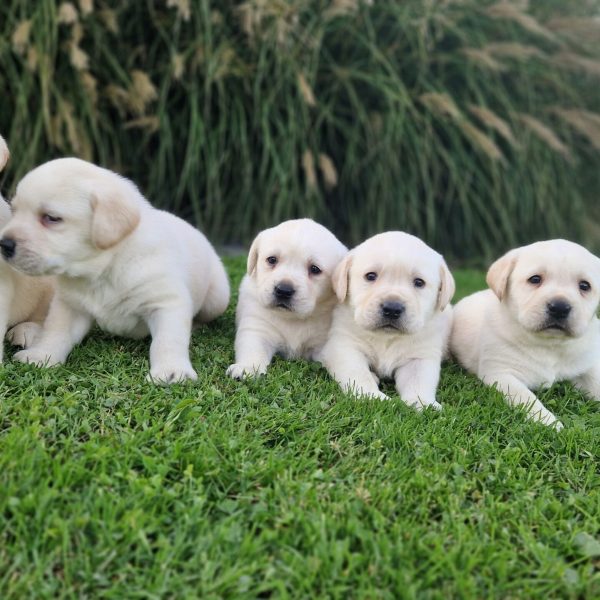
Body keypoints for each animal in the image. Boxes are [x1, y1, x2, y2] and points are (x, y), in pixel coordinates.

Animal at [0, 158, 229, 384]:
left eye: (51, 218)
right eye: (14, 211)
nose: (4, 244)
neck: (105, 267)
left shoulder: (166, 302)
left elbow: (167, 341)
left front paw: (171, 371)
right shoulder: (70, 306)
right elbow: (55, 331)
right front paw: (40, 355)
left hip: (218, 299)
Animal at [226, 219, 350, 380]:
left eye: (314, 269)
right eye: (272, 260)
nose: (283, 290)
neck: (293, 318)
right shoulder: (257, 327)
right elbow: (252, 349)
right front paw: (247, 368)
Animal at [322, 230, 452, 408]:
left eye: (419, 282)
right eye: (370, 276)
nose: (392, 309)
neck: (386, 337)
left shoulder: (421, 356)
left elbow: (419, 381)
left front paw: (423, 404)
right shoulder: (345, 347)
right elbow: (358, 374)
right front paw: (371, 397)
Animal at [450, 239, 600, 432]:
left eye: (584, 286)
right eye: (535, 279)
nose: (559, 307)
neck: (550, 345)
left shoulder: (586, 363)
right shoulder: (502, 374)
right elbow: (526, 397)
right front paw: (548, 422)